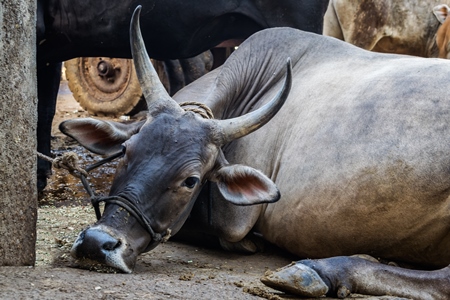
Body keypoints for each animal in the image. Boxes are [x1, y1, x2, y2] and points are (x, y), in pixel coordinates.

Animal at [60, 5, 450, 298]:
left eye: (191, 180)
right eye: (126, 151)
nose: (98, 243)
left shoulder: (233, 222)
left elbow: (224, 235)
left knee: (442, 281)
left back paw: (317, 271)